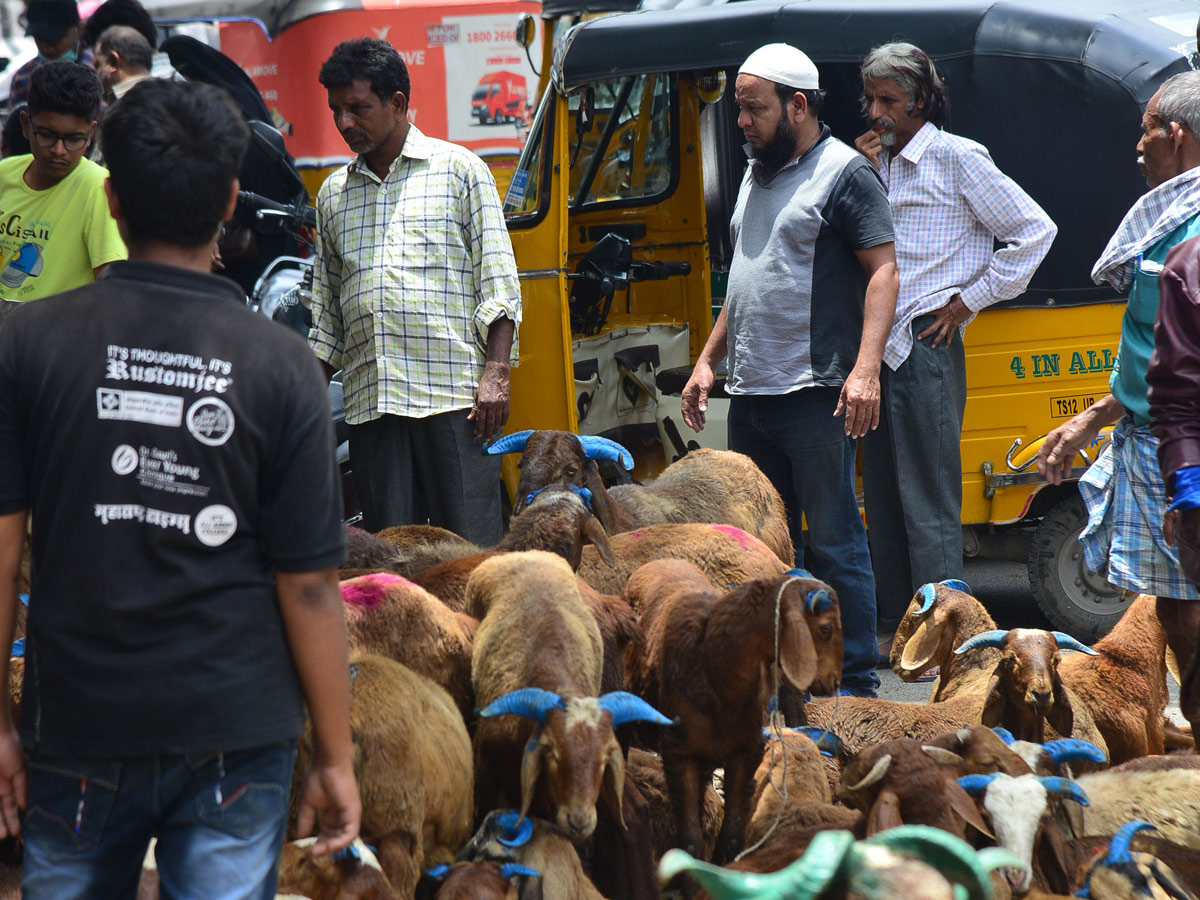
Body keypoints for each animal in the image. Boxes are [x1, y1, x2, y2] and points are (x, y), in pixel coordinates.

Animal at [619, 561, 844, 864]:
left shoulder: (743, 755)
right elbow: (690, 841)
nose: (833, 682)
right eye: (826, 628)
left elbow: (732, 836)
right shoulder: (680, 757)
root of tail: (658, 563)